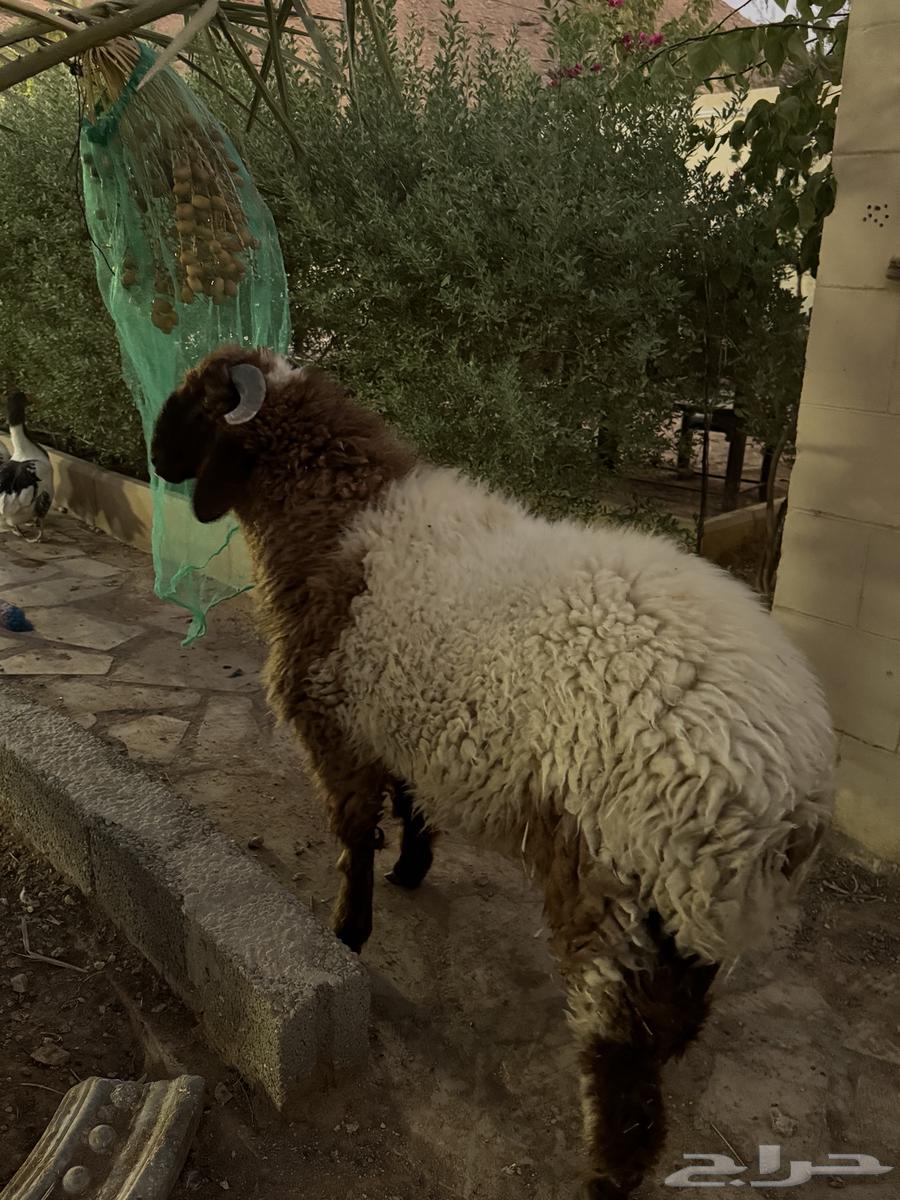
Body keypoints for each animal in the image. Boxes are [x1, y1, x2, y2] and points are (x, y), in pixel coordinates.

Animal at [151, 345, 835, 1200]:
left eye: (195, 402)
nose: (153, 456)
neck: (336, 517)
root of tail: (791, 783)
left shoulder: (335, 725)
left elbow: (352, 833)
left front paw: (348, 930)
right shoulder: (401, 716)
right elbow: (410, 800)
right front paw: (412, 867)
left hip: (618, 886)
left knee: (623, 1073)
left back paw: (603, 1177)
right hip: (683, 920)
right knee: (669, 1031)